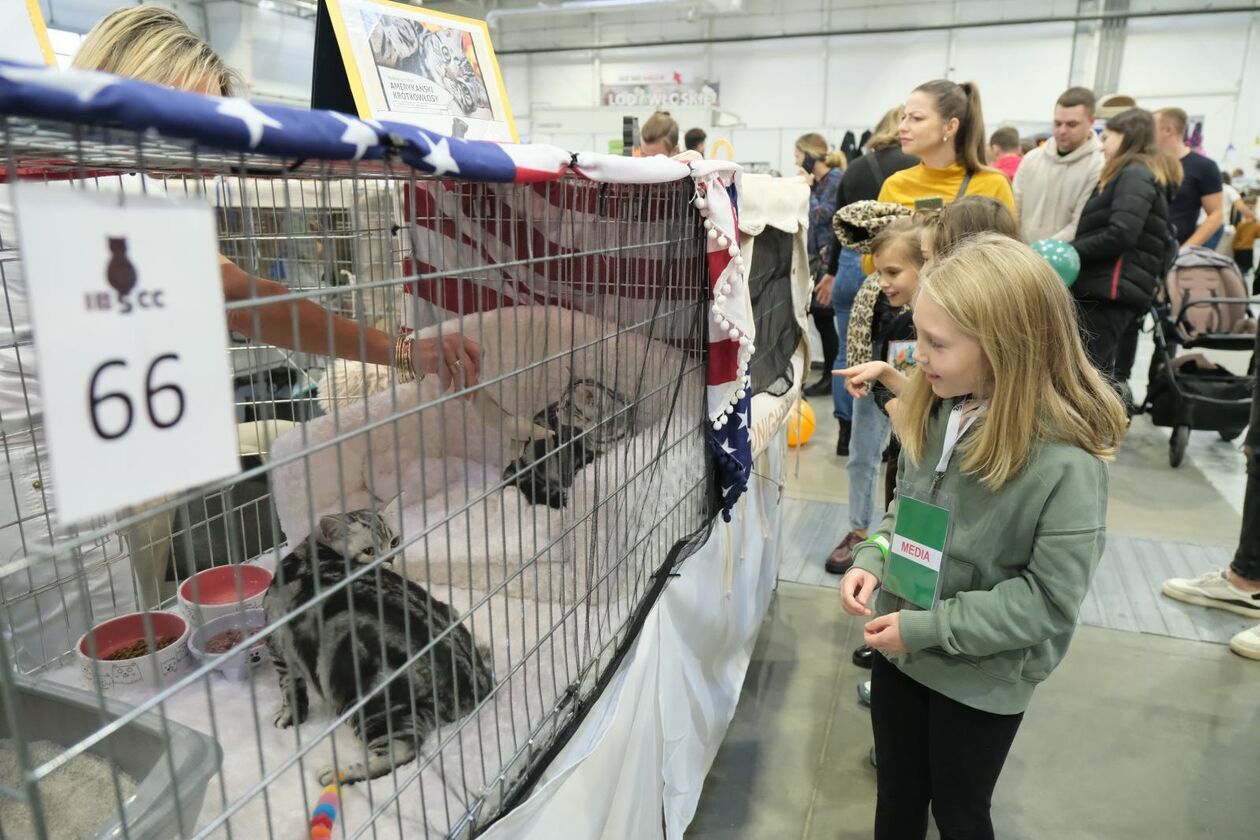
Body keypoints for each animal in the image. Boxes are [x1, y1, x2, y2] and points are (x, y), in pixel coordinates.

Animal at [264, 506, 491, 790]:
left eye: (394, 542)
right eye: (369, 550)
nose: (391, 559)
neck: (314, 550)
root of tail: (478, 684)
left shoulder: (278, 646)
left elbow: (290, 689)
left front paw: (288, 718)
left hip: (364, 700)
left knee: (402, 751)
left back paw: (339, 774)